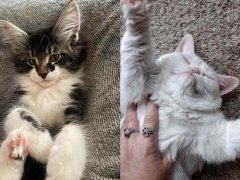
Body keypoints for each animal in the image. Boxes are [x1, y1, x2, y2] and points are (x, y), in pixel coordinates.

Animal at [0, 0, 87, 179]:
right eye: (31, 61)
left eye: (54, 57)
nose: (42, 73)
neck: (47, 92)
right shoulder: (15, 101)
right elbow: (19, 113)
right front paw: (45, 147)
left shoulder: (74, 107)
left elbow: (73, 132)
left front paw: (61, 172)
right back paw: (13, 145)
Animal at [121, 0, 240, 179]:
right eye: (186, 60)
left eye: (206, 76)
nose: (195, 71)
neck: (173, 103)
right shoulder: (136, 82)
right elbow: (136, 47)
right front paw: (138, 13)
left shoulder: (213, 138)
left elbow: (233, 135)